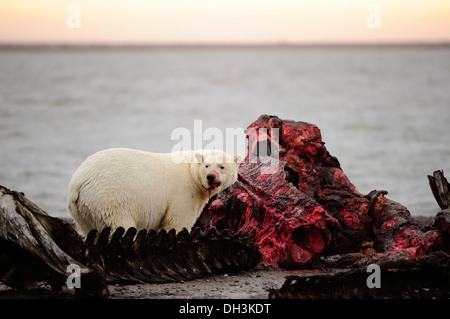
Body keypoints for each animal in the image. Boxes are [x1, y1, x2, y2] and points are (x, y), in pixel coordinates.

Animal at [67, 149, 241, 236]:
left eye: (221, 166)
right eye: (207, 165)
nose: (211, 177)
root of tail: (78, 183)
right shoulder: (184, 192)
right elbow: (177, 221)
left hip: (83, 209)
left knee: (91, 230)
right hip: (109, 198)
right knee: (120, 224)